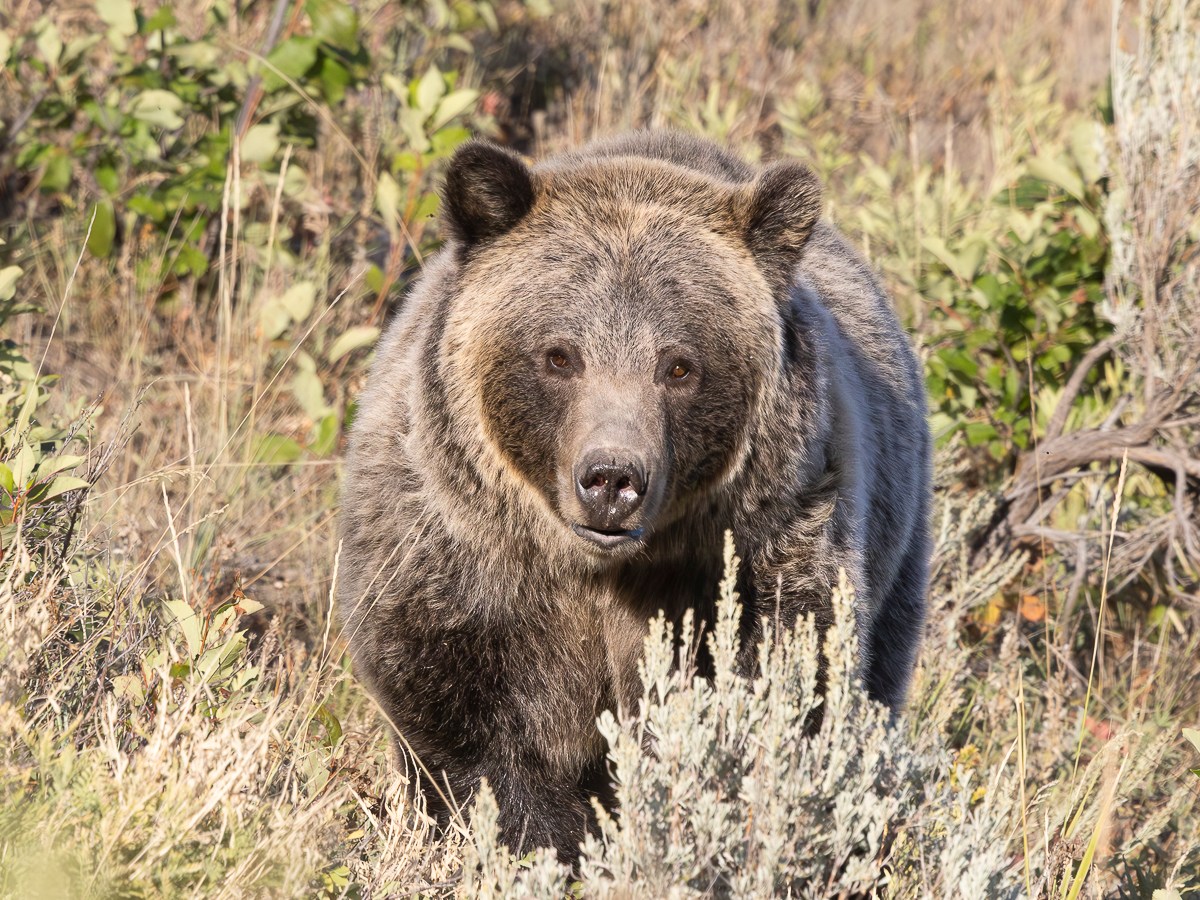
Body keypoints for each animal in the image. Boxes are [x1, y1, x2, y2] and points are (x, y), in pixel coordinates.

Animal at [338, 130, 932, 865]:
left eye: (678, 365)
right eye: (559, 355)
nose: (611, 479)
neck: (595, 568)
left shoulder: (755, 554)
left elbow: (768, 677)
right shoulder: (460, 561)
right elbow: (469, 730)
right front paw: (538, 842)